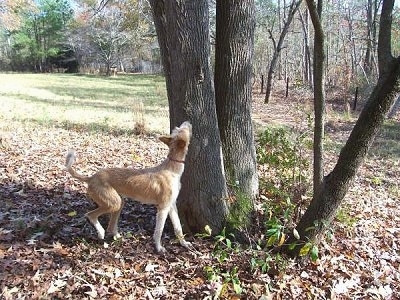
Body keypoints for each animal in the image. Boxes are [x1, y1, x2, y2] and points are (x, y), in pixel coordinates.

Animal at [64, 120, 192, 252]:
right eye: (182, 129)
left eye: (178, 128)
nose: (187, 121)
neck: (172, 168)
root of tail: (91, 177)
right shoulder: (163, 207)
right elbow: (159, 231)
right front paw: (158, 247)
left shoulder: (171, 206)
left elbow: (178, 227)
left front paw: (183, 243)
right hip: (113, 203)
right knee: (90, 215)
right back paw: (100, 232)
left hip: (119, 203)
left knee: (111, 226)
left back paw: (118, 237)